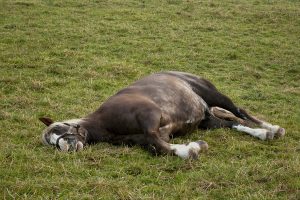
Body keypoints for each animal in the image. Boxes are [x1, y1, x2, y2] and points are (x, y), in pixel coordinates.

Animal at [39, 71, 286, 159]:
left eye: (58, 129)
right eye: (51, 142)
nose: (65, 147)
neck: (104, 122)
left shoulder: (150, 116)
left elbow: (156, 141)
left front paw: (192, 149)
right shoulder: (157, 134)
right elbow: (158, 146)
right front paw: (190, 147)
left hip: (214, 96)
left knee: (239, 111)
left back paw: (273, 128)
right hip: (208, 120)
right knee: (233, 122)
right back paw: (262, 133)